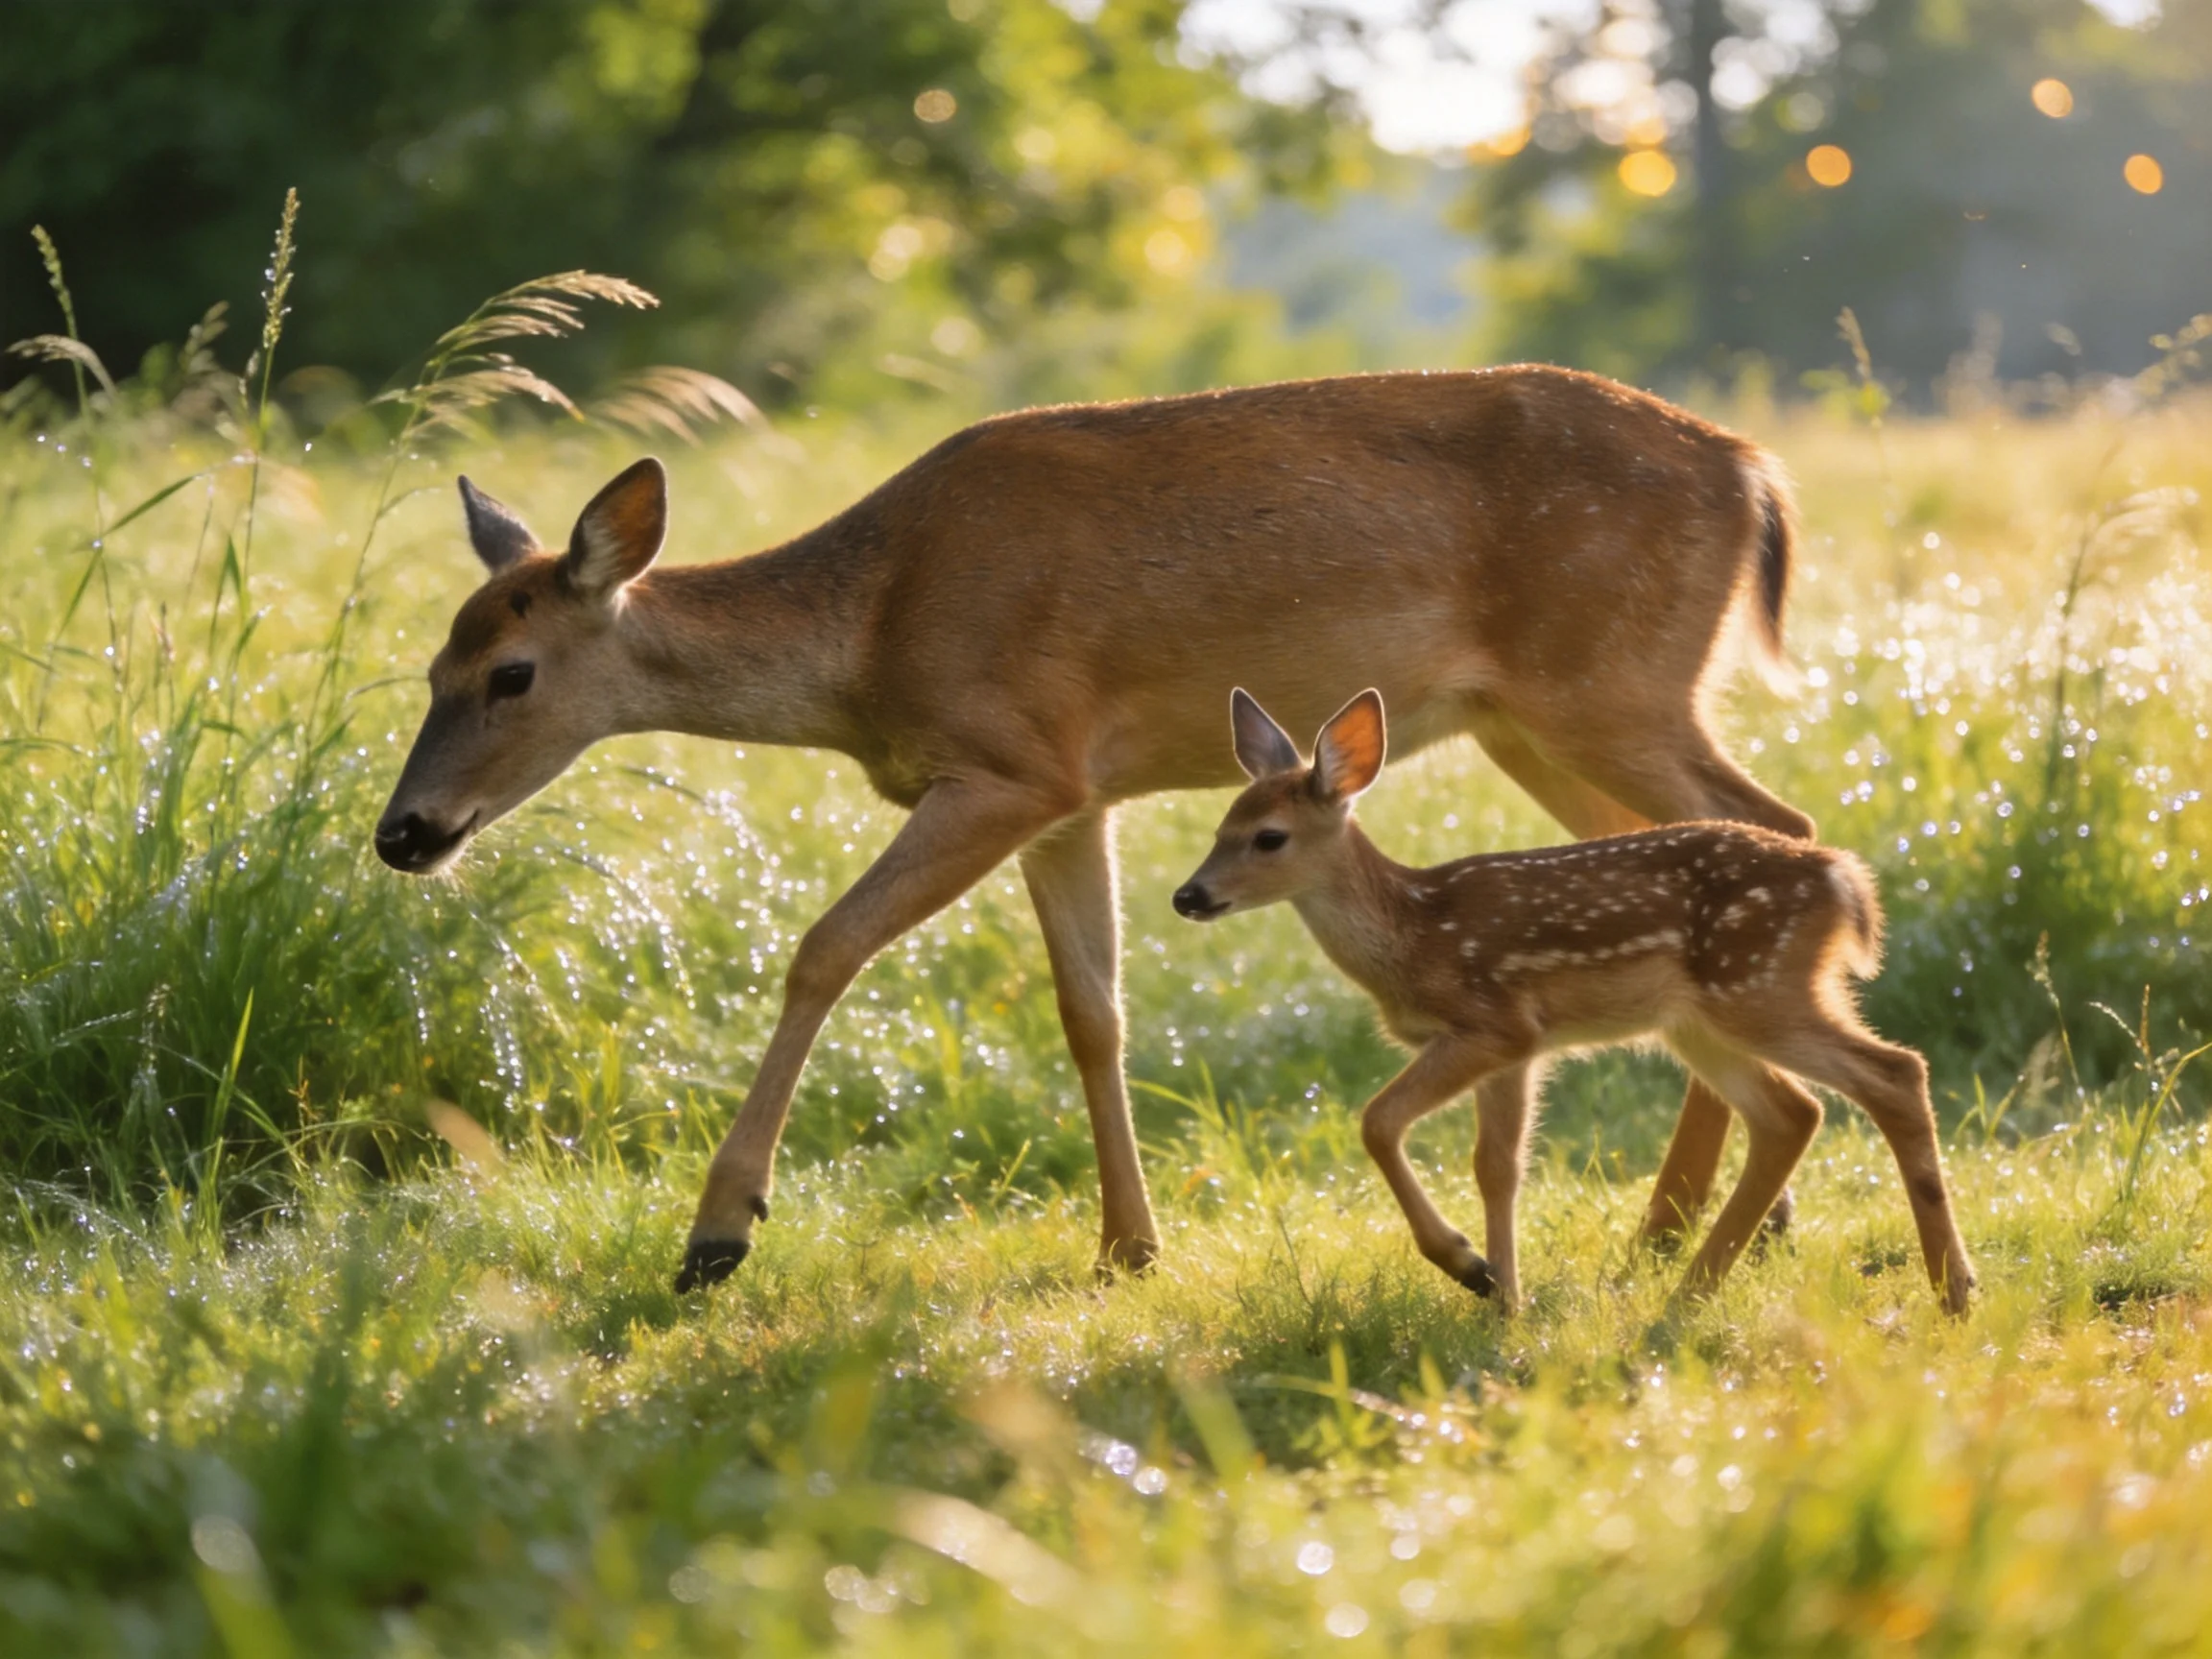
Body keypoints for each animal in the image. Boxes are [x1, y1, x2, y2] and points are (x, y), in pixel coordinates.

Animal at [371, 366, 1822, 1296]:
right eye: (428, 667)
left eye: (511, 674)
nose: (403, 833)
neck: (873, 631)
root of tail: (1759, 475)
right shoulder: (1073, 797)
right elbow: (1092, 1012)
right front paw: (1129, 1244)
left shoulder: (1009, 762)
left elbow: (826, 947)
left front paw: (720, 1231)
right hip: (1537, 718)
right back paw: (1708, 1210)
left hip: (1612, 684)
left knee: (1775, 819)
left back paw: (1694, 1210)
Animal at [1171, 688, 1974, 1315]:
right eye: (1218, 828)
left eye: (1268, 837)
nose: (1188, 896)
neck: (1414, 935)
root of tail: (1842, 879)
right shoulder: (1514, 1050)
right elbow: (1496, 1166)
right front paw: (1501, 1296)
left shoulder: (1494, 1024)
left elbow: (1378, 1122)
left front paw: (1468, 1266)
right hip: (1699, 1020)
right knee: (1792, 1114)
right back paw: (1689, 1293)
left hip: (1759, 985)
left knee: (1893, 1073)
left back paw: (1953, 1291)